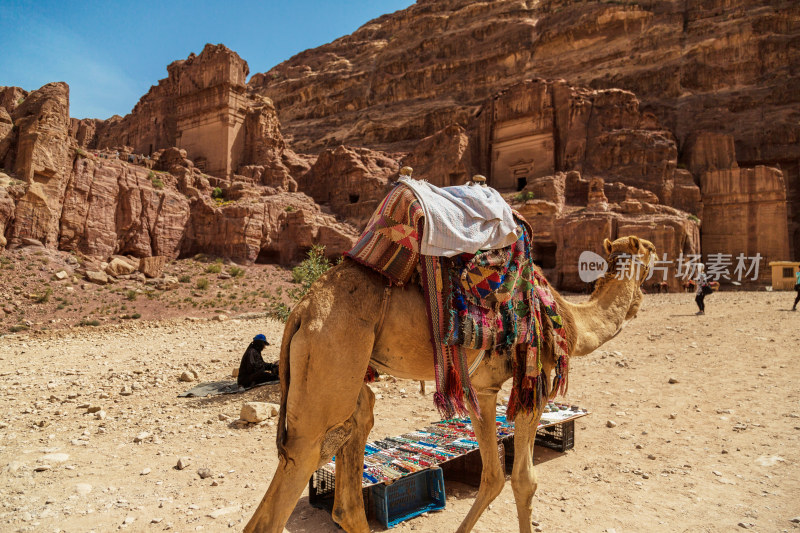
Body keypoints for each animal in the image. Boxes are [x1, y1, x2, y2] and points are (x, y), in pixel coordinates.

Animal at [245, 235, 656, 528]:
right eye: (650, 250)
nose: (657, 265)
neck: (570, 320)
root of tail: (301, 310)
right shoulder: (535, 382)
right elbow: (524, 480)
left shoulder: (484, 390)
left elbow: (492, 476)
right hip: (329, 366)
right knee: (297, 473)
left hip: (344, 382)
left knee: (346, 469)